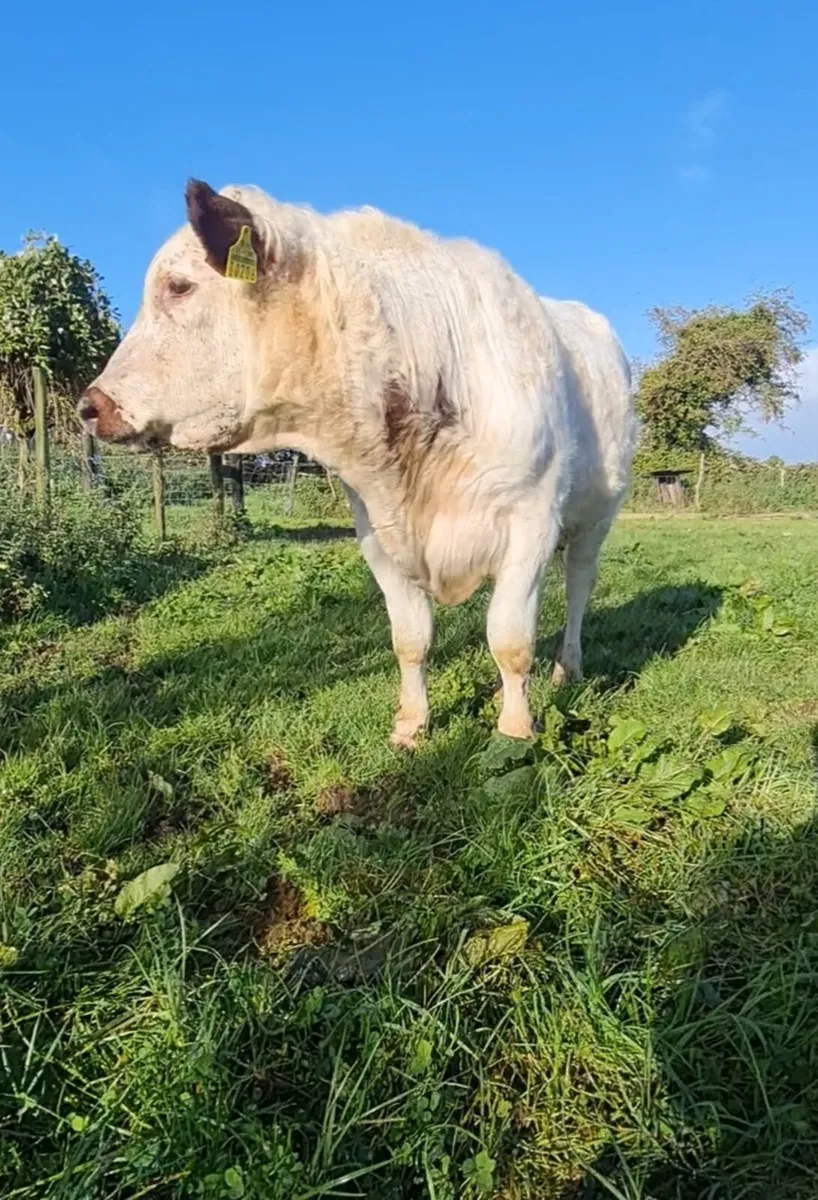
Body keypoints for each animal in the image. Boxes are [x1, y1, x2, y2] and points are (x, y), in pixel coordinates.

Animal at [78, 180, 636, 747]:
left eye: (178, 286)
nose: (90, 406)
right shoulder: (377, 532)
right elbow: (411, 638)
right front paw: (411, 726)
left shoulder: (530, 522)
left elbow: (510, 639)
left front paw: (515, 730)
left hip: (596, 516)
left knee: (578, 588)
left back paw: (567, 667)